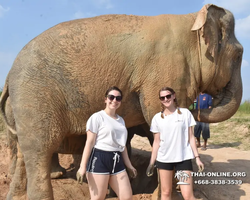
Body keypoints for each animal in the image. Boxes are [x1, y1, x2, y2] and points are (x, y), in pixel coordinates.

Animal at [0, 3, 242, 200]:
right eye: (239, 54)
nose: (199, 104)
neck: (191, 20)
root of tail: (9, 74)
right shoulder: (168, 74)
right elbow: (157, 120)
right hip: (36, 96)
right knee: (40, 148)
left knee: (24, 152)